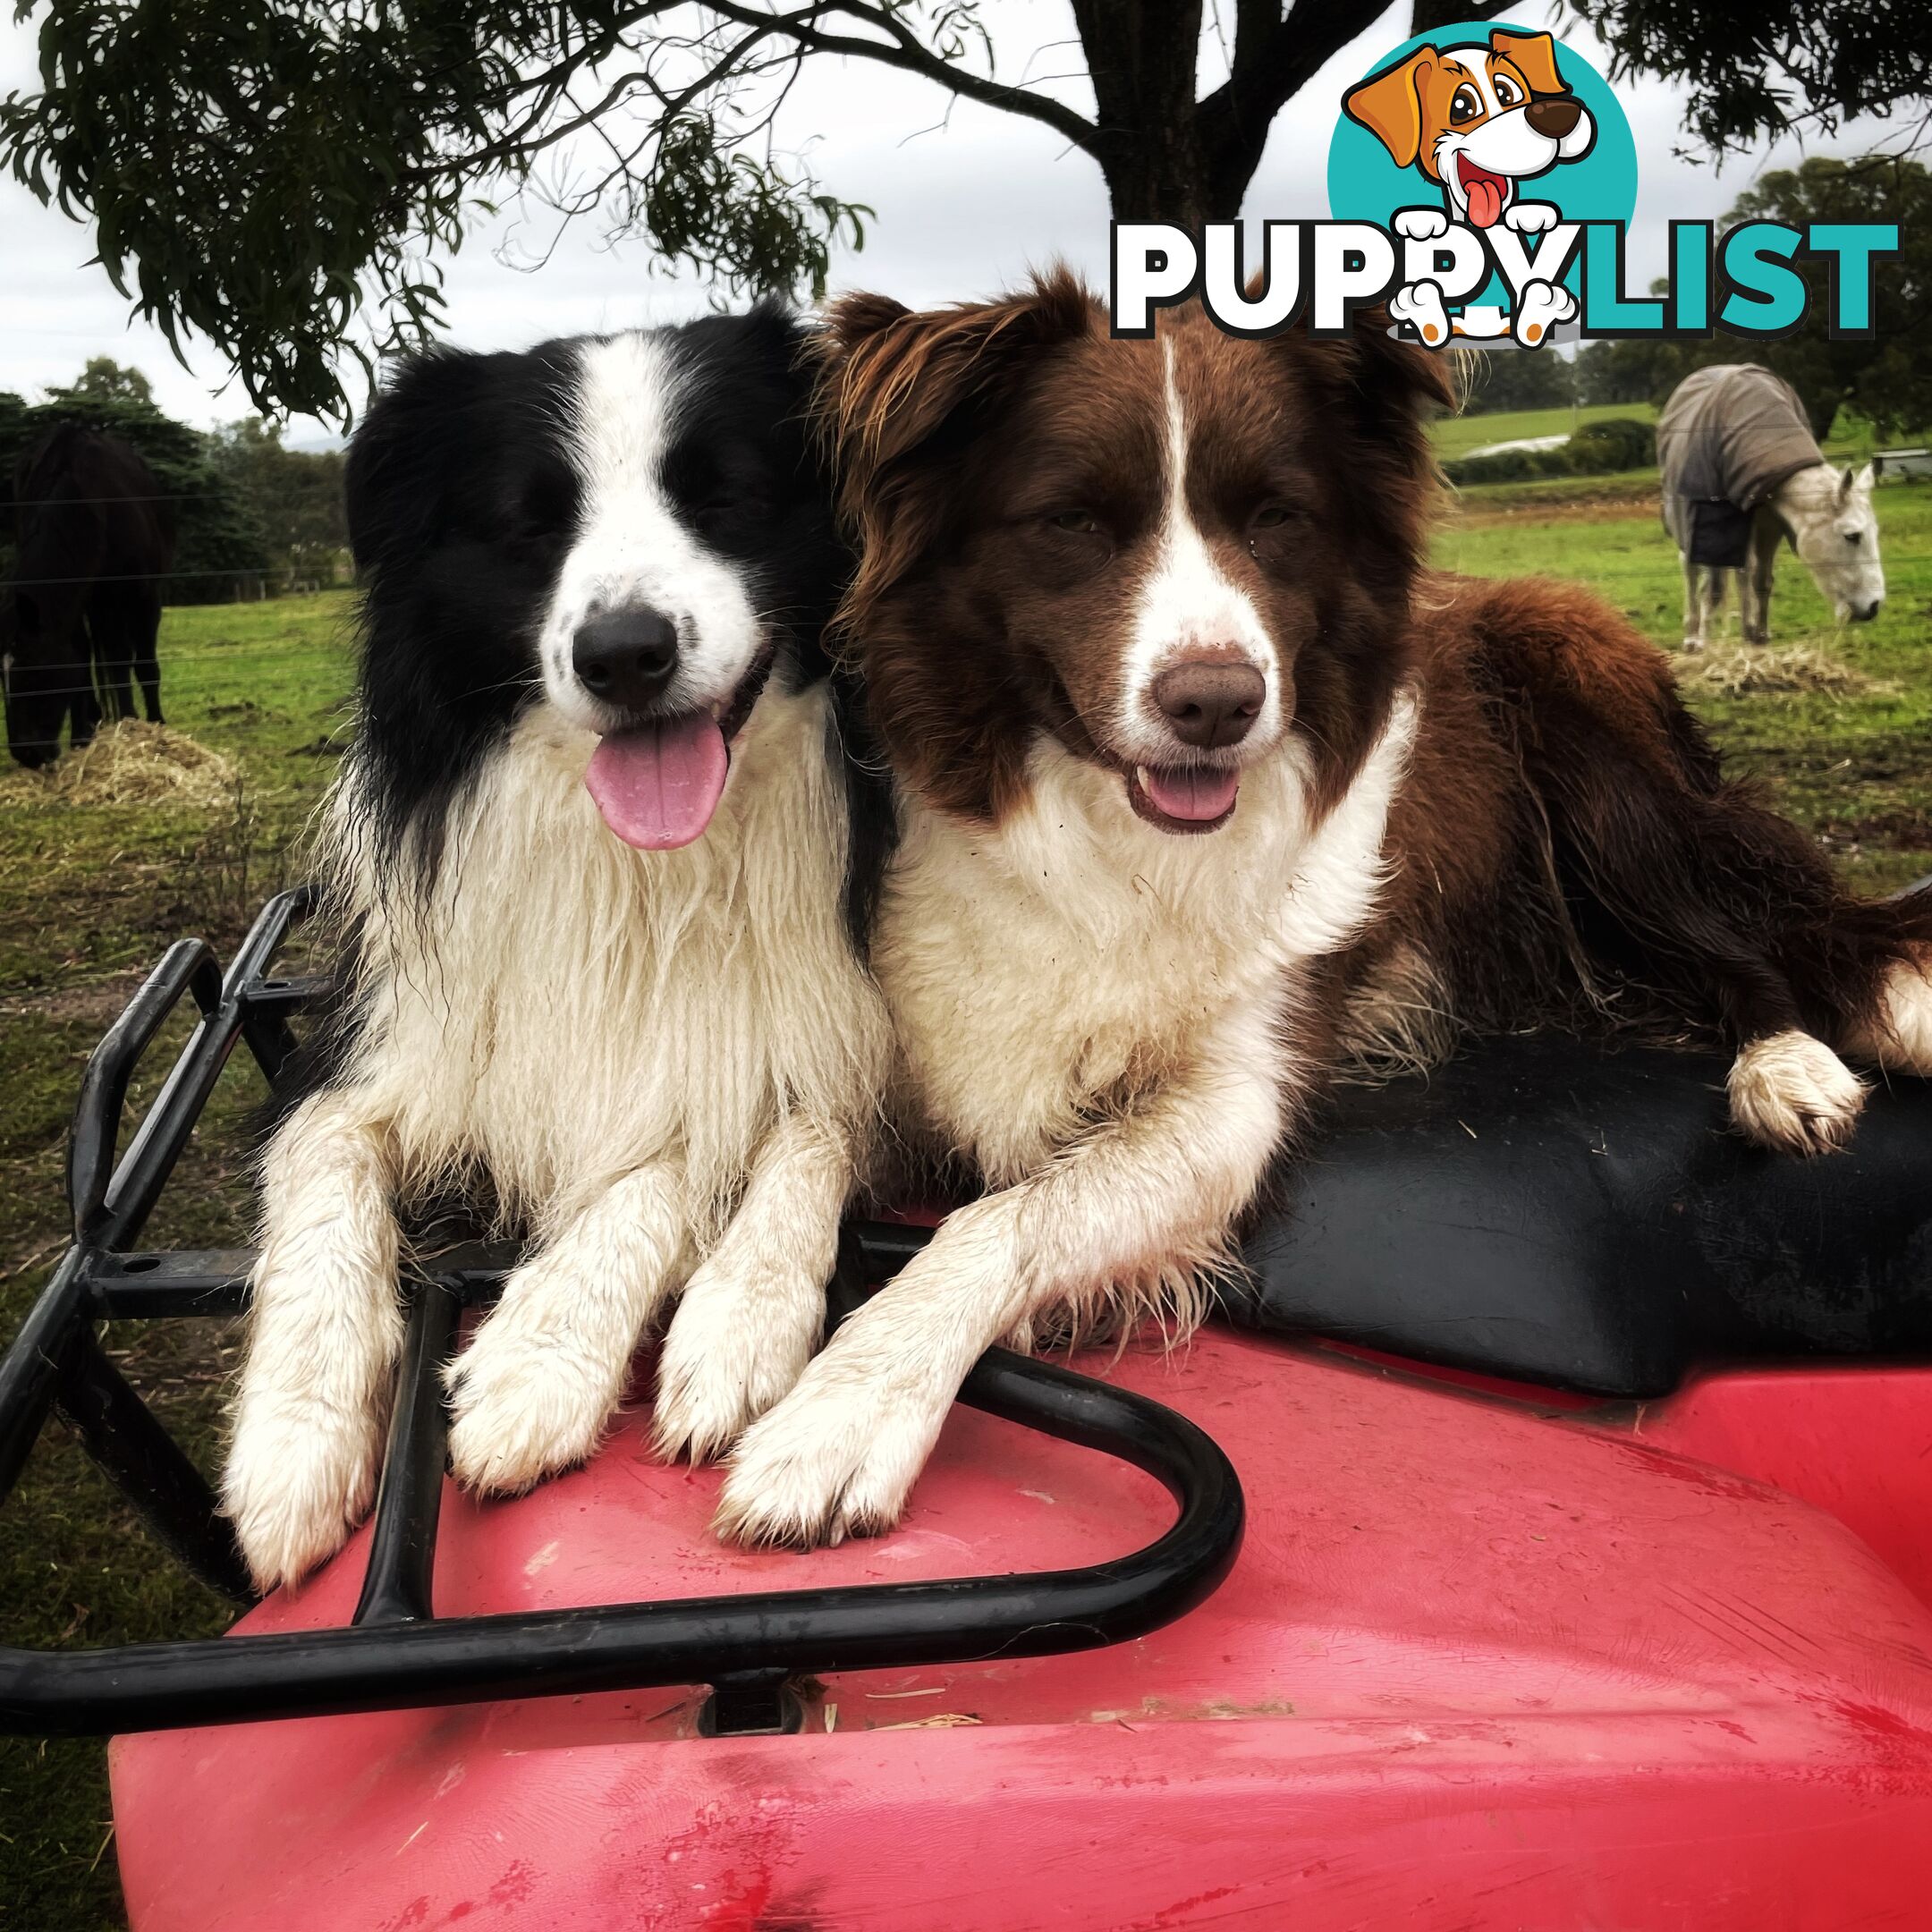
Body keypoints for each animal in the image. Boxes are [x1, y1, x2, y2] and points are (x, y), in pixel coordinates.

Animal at [4, 427, 174, 765]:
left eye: (32, 670)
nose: (27, 754)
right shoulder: (76, 601)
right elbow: (82, 659)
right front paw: (83, 736)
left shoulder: (141, 596)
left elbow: (135, 661)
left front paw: (141, 725)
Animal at [1661, 365, 1885, 653]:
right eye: (1852, 536)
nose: (1874, 606)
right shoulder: (1713, 525)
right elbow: (1714, 586)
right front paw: (1703, 643)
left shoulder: (1769, 525)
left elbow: (1760, 579)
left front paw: (1759, 635)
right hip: (1689, 524)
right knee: (1692, 570)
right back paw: (1692, 636)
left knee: (1738, 573)